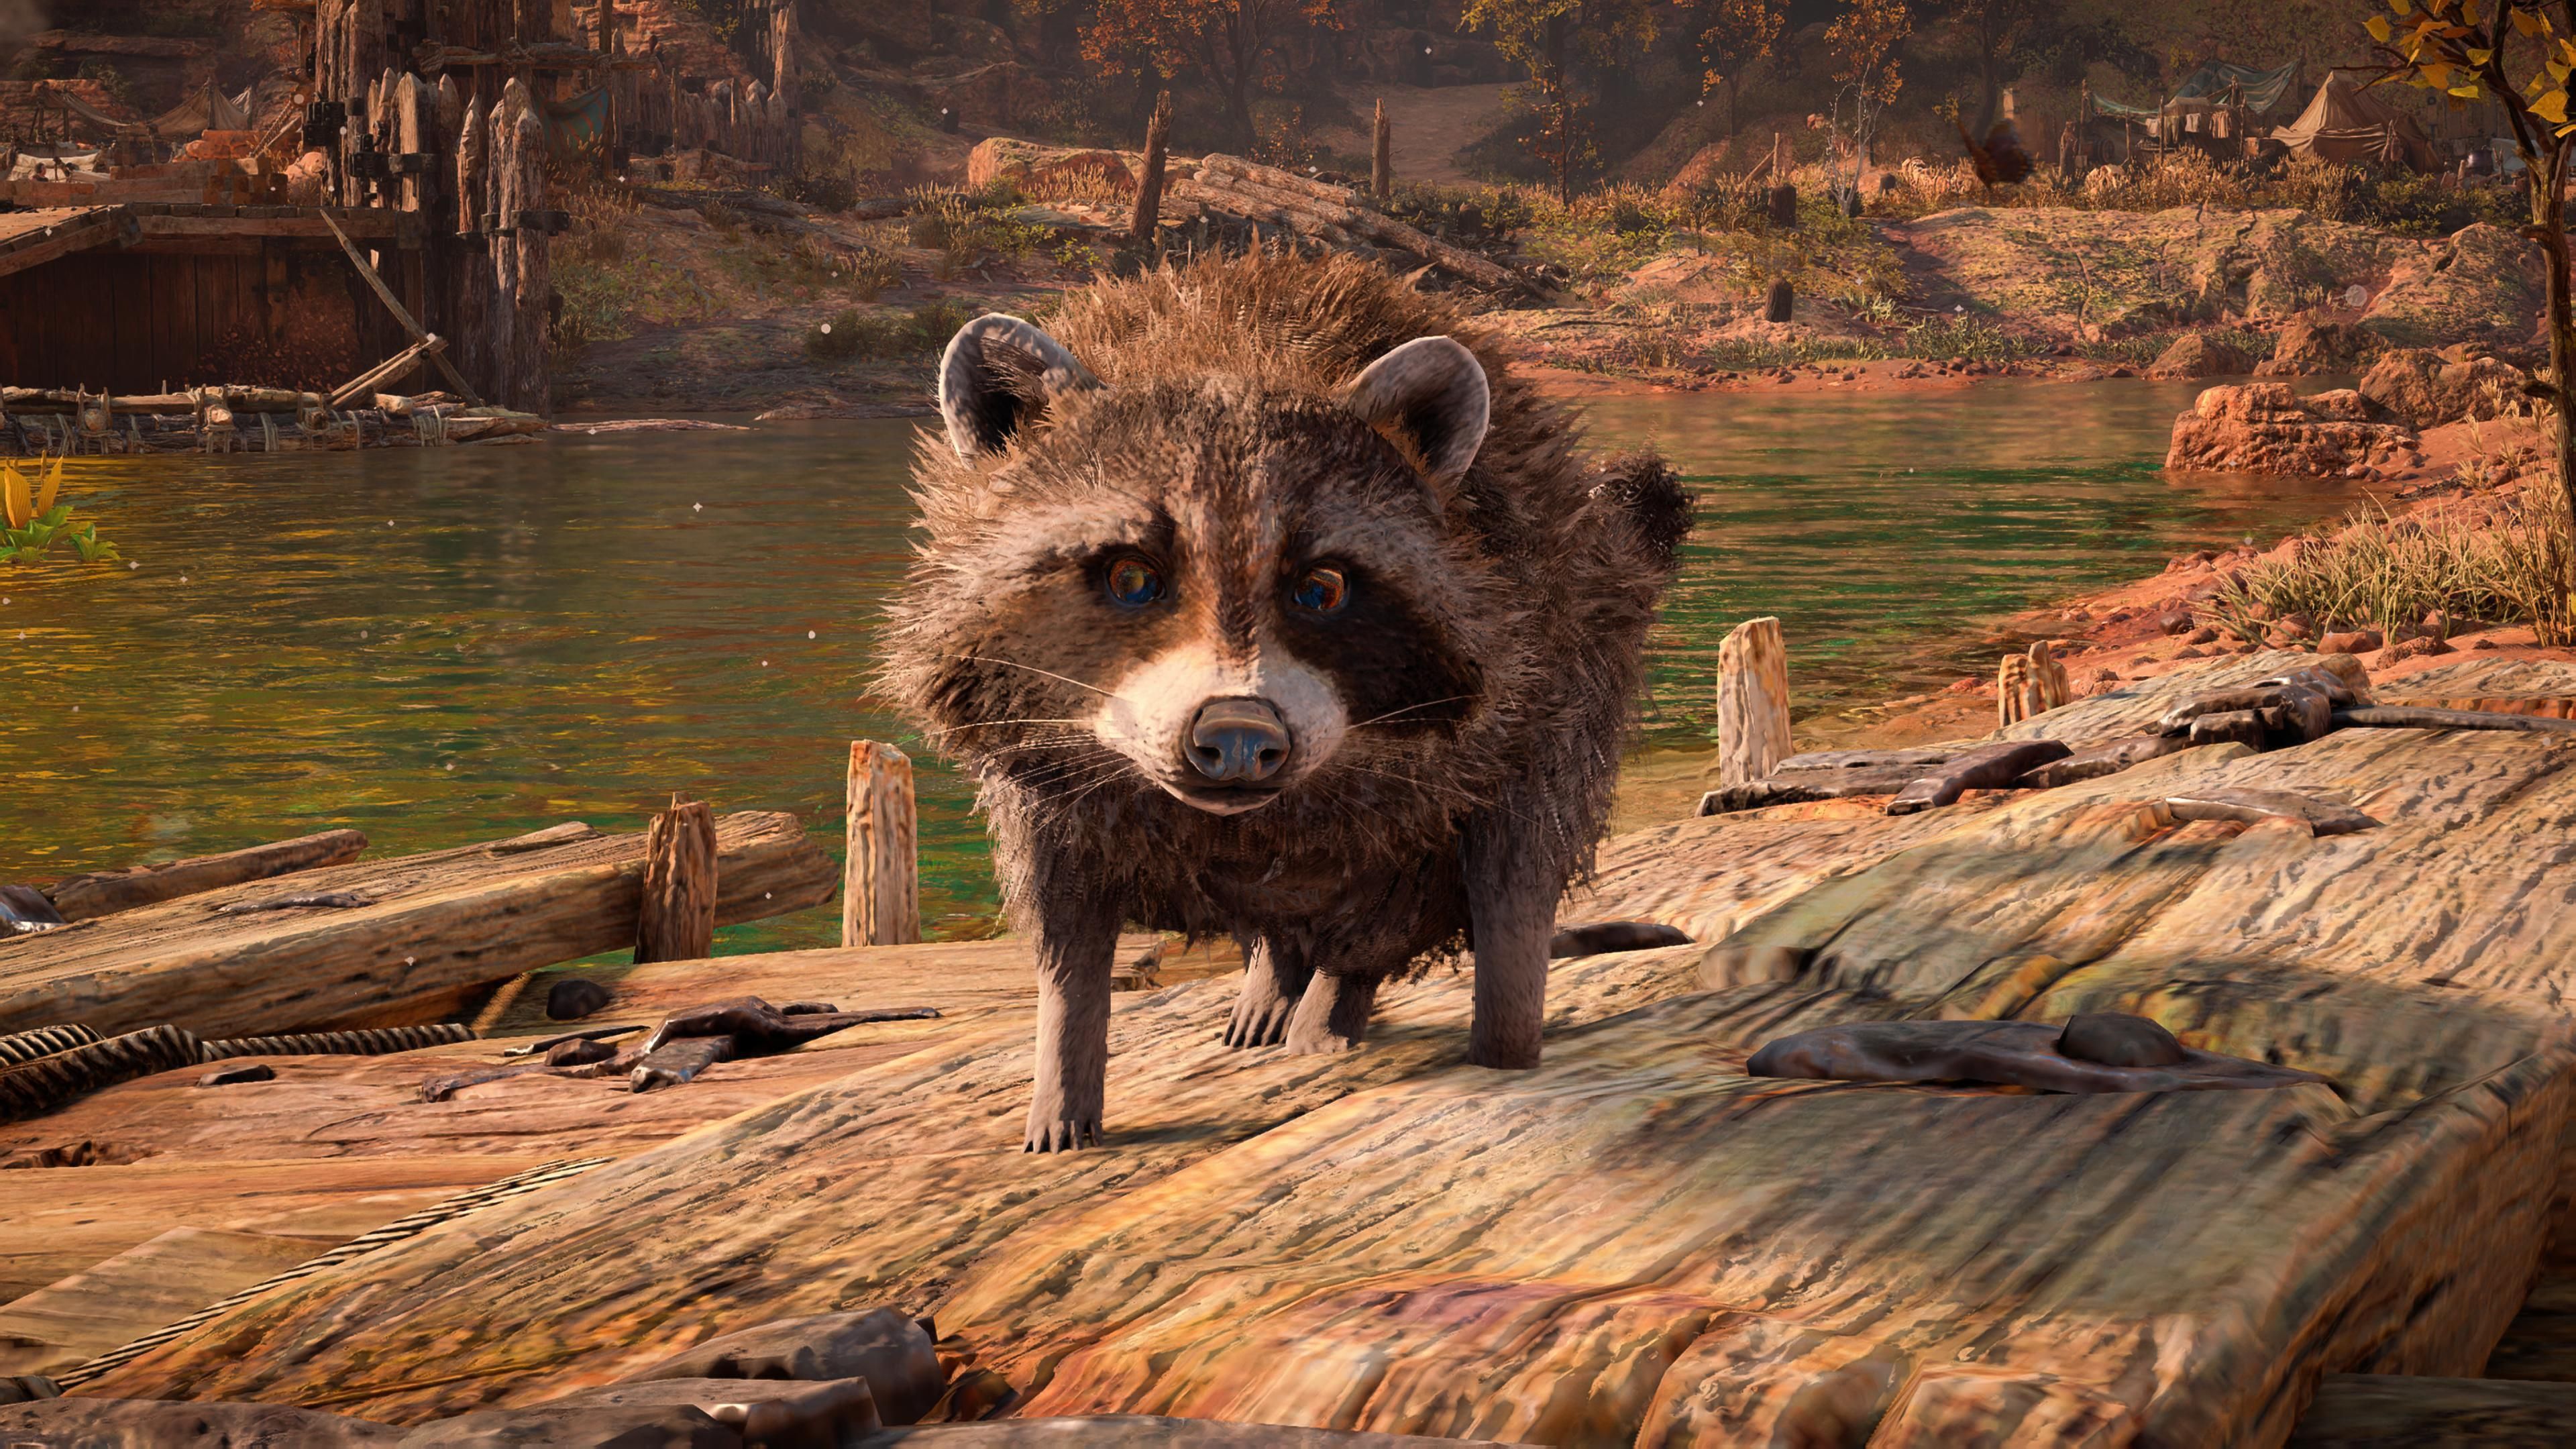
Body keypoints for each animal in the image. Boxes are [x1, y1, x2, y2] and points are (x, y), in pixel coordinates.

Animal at [882, 253, 1688, 1152]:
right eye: (1131, 578)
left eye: (1321, 588)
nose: (1237, 736)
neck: (1235, 349)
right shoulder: (1041, 774)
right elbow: (1067, 937)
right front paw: (1062, 1079)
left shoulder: (1541, 683)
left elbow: (1514, 886)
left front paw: (1504, 1053)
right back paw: (1276, 985)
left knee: (1389, 908)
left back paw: (1330, 1006)